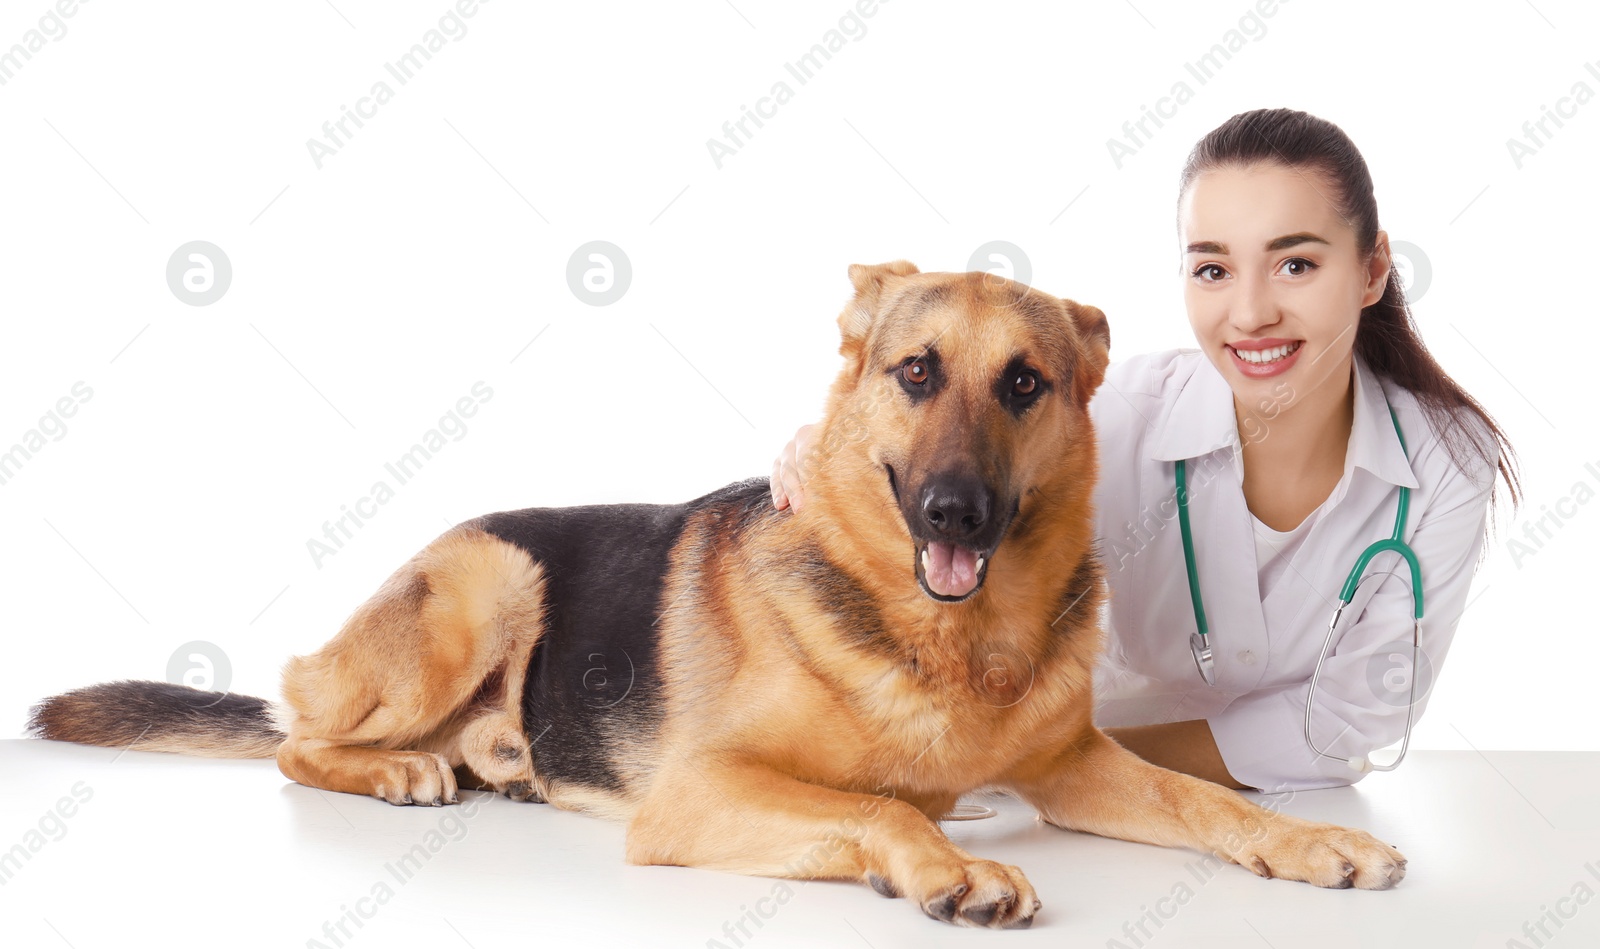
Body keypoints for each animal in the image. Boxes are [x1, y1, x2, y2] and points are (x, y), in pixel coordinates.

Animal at [21, 259, 1401, 928]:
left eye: (1024, 384)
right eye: (915, 371)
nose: (954, 513)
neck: (945, 642)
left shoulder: (1075, 768)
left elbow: (1203, 796)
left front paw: (1313, 838)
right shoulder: (699, 794)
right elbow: (879, 808)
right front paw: (944, 866)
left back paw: (494, 760)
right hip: (486, 582)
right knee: (293, 736)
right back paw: (405, 765)